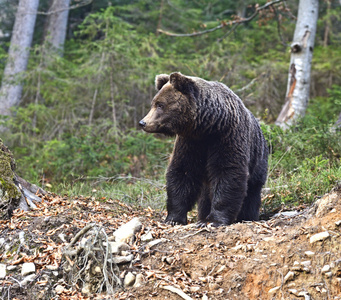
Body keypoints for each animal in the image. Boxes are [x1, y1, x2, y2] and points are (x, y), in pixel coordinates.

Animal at [139, 72, 266, 226]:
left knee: (252, 193)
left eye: (160, 105)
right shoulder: (191, 143)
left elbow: (227, 172)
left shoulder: (227, 137)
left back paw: (247, 216)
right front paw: (174, 218)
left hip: (258, 162)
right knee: (205, 195)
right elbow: (183, 172)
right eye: (154, 103)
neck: (208, 127)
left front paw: (214, 220)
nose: (143, 122)